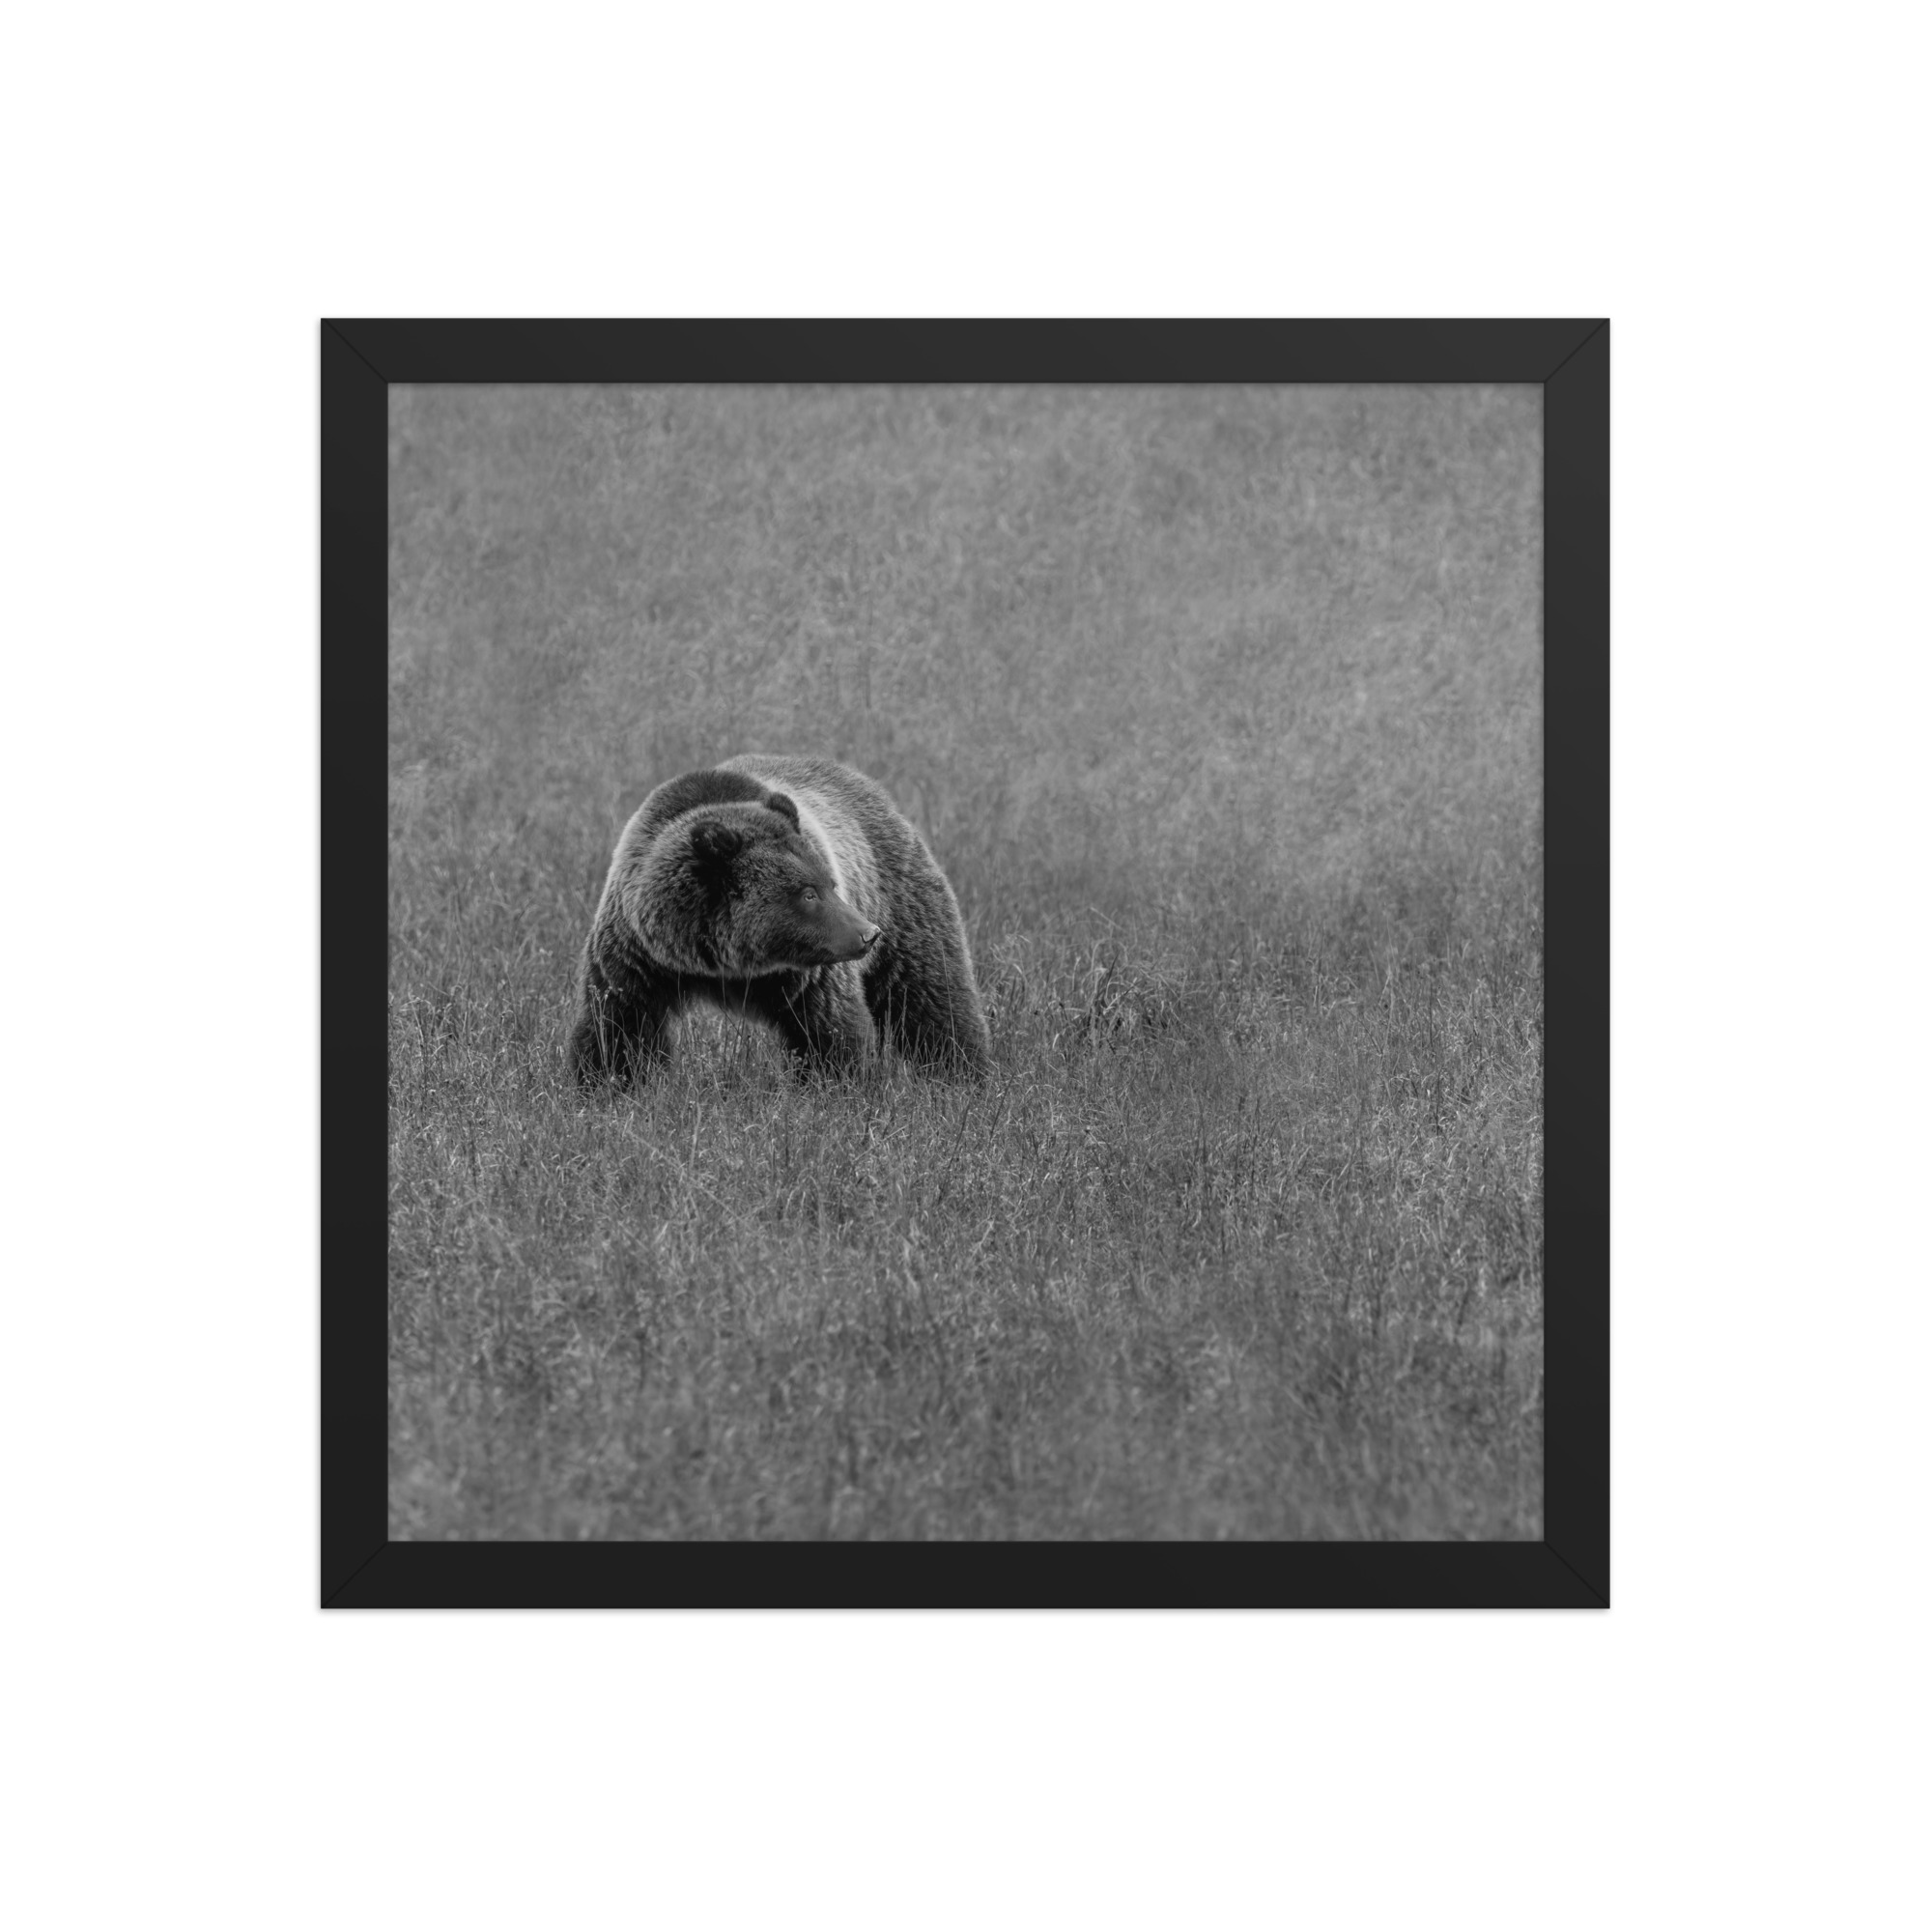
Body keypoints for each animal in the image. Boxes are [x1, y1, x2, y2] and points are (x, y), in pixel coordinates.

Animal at [567, 754, 991, 1085]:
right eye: (808, 893)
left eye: (830, 883)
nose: (868, 934)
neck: (726, 963)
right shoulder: (638, 956)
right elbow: (619, 1028)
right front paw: (606, 1085)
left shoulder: (810, 974)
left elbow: (830, 1031)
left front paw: (839, 1086)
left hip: (900, 900)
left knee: (931, 995)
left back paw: (964, 1075)